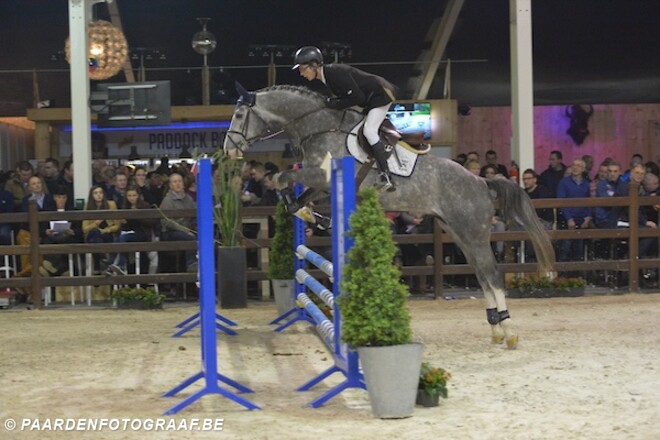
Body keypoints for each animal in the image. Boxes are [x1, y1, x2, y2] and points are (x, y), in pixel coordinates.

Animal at [224, 84, 556, 348]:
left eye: (239, 115)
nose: (229, 149)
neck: (317, 126)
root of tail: (482, 182)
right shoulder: (320, 184)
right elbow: (295, 193)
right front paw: (310, 215)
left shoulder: (323, 177)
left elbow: (280, 177)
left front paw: (309, 212)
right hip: (460, 233)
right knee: (482, 275)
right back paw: (496, 330)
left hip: (473, 234)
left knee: (494, 275)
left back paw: (509, 331)